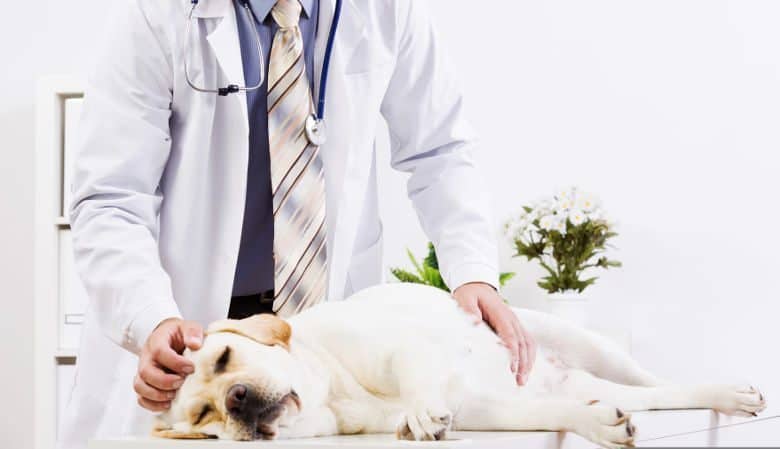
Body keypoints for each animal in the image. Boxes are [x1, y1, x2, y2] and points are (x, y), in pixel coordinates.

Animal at [154, 282, 768, 446]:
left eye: (225, 357)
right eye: (204, 418)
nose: (235, 399)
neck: (334, 394)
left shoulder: (402, 347)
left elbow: (416, 376)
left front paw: (422, 413)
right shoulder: (486, 411)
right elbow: (558, 415)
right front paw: (601, 424)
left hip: (589, 343)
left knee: (663, 384)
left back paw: (730, 394)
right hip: (589, 380)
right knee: (641, 397)